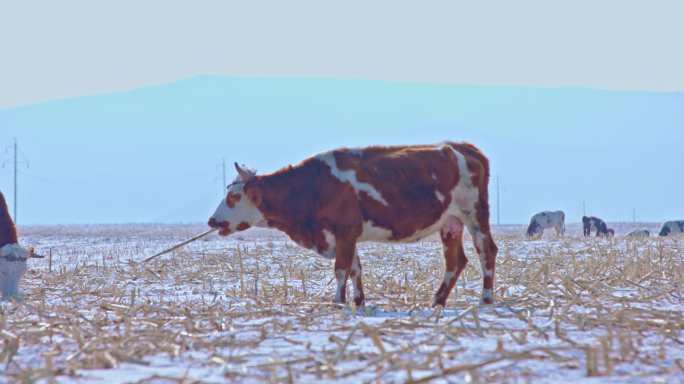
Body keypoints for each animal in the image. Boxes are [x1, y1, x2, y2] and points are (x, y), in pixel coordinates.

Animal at [207, 142, 496, 308]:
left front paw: (337, 301)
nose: (212, 220)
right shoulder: (346, 236)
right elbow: (356, 269)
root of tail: (465, 148)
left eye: (234, 197)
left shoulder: (345, 231)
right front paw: (358, 300)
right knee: (455, 261)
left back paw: (486, 298)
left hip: (475, 214)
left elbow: (341, 269)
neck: (313, 186)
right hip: (450, 224)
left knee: (487, 251)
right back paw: (438, 300)